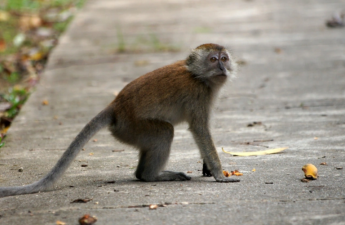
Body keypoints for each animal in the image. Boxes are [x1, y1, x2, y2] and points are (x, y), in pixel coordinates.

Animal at [0, 43, 238, 198]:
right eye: (213, 59)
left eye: (224, 58)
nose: (222, 68)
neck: (197, 76)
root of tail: (115, 106)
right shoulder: (199, 94)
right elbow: (199, 129)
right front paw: (220, 174)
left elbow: (201, 131)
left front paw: (208, 168)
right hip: (132, 127)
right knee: (164, 132)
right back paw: (151, 176)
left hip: (130, 131)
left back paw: (142, 174)